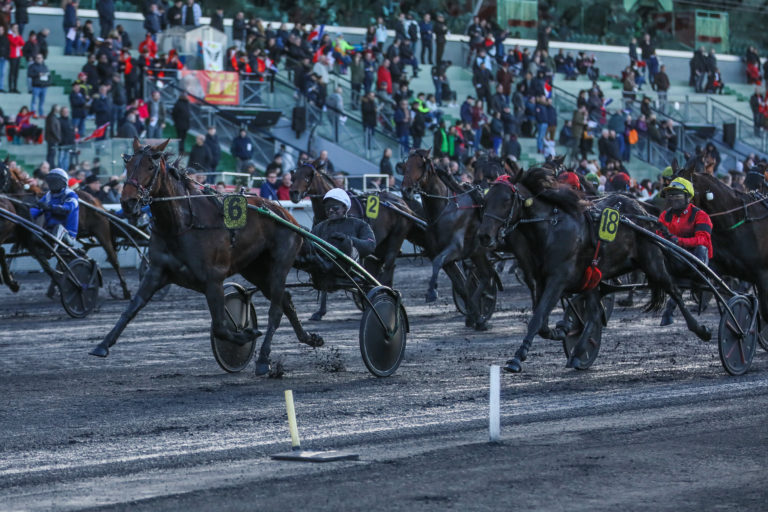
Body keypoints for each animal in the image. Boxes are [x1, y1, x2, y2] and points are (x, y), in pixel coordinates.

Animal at [88, 140, 322, 376]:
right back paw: (309, 338)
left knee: (276, 308)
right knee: (286, 299)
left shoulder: (213, 279)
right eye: (128, 165)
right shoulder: (156, 272)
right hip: (256, 269)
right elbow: (131, 308)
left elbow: (220, 327)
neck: (181, 225)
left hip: (279, 264)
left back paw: (264, 359)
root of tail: (284, 213)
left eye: (150, 167)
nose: (128, 202)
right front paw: (102, 345)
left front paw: (245, 335)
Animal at [288, 160, 420, 320]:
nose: (293, 193)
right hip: (382, 244)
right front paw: (320, 311)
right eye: (293, 176)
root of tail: (402, 203)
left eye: (308, 176)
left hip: (396, 237)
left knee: (388, 264)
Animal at [476, 167, 712, 372]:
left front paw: (517, 358)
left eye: (506, 200)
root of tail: (642, 212)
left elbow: (537, 318)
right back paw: (579, 351)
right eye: (485, 201)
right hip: (594, 276)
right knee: (596, 312)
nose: (484, 236)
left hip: (652, 263)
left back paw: (701, 329)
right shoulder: (538, 280)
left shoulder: (558, 279)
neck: (550, 227)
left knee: (675, 291)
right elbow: (541, 321)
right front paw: (561, 330)